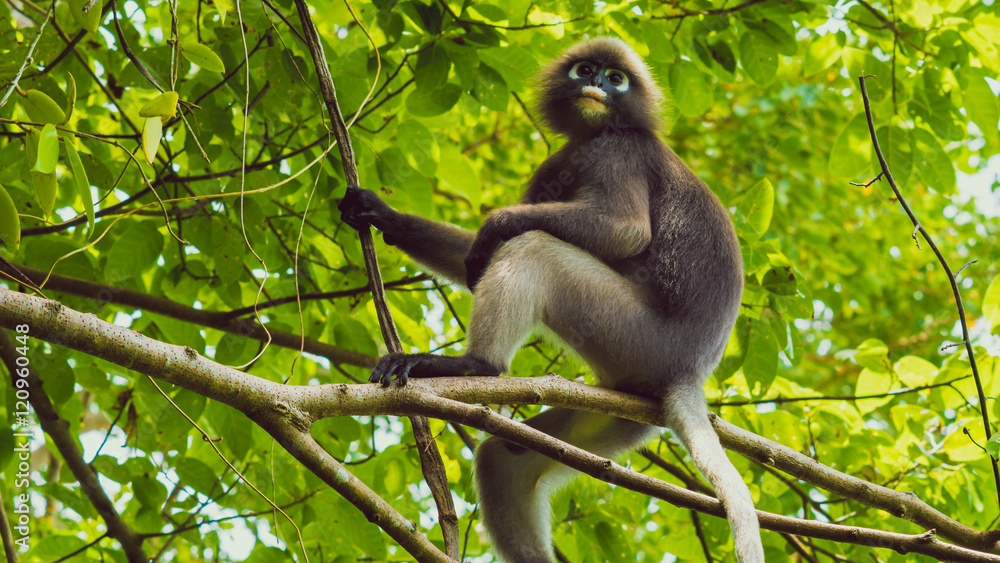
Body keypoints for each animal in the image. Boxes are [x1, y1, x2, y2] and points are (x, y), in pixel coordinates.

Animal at [338, 37, 764, 563]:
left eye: (616, 79)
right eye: (585, 70)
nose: (597, 84)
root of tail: (690, 373)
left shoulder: (616, 150)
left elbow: (625, 230)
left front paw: (495, 225)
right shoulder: (558, 163)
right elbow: (471, 260)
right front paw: (380, 213)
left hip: (635, 334)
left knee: (534, 247)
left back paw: (472, 365)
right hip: (627, 403)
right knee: (504, 457)